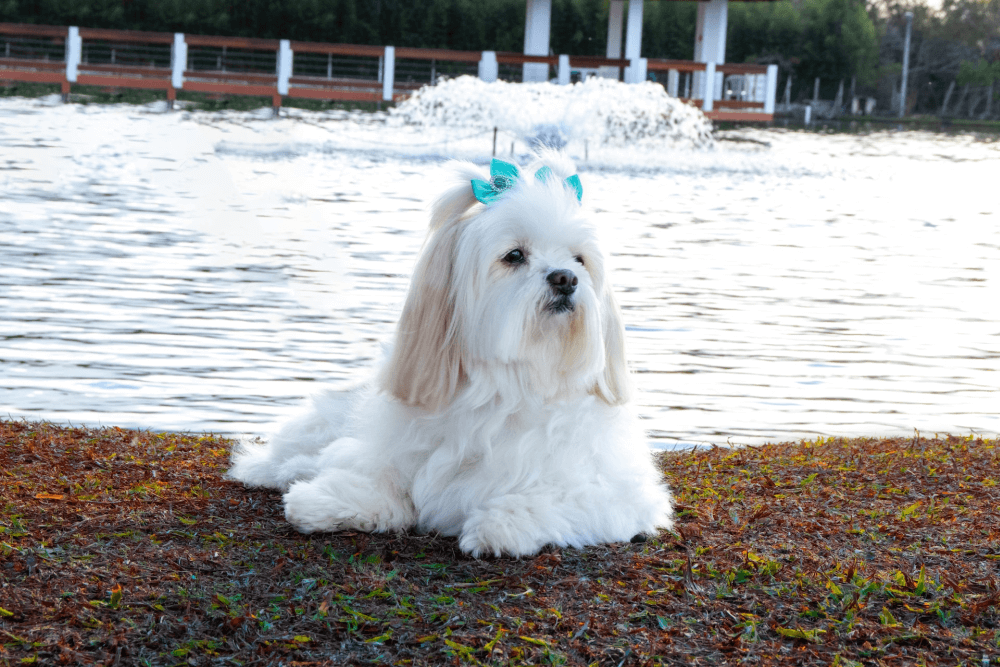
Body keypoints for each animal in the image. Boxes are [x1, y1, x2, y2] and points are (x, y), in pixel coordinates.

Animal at [229, 154, 672, 556]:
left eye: (579, 259)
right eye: (514, 256)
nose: (565, 278)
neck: (513, 382)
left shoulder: (620, 496)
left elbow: (559, 499)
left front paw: (501, 524)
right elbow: (381, 480)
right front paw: (324, 500)